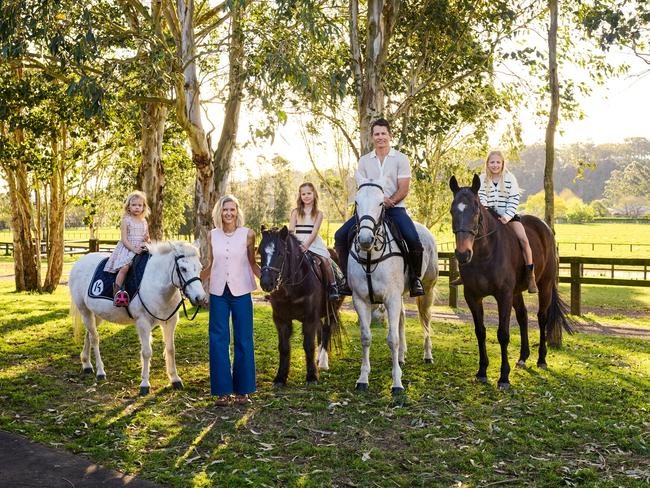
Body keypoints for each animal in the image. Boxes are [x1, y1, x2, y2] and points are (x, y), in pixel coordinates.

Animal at [69, 241, 205, 396]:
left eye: (200, 267)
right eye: (183, 268)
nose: (200, 298)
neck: (156, 284)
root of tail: (79, 262)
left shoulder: (170, 322)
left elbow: (171, 349)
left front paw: (175, 379)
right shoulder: (143, 323)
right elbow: (146, 352)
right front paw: (145, 384)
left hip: (96, 314)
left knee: (89, 335)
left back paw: (86, 364)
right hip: (84, 310)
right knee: (94, 339)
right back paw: (100, 371)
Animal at [256, 227, 344, 386]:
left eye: (280, 253)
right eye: (260, 252)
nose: (266, 283)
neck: (292, 287)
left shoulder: (310, 318)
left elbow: (308, 346)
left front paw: (312, 376)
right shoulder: (281, 319)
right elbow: (284, 347)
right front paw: (280, 377)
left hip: (332, 310)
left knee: (327, 330)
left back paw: (323, 362)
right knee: (321, 330)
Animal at [346, 179, 438, 396]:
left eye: (381, 203)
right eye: (357, 202)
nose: (365, 240)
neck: (370, 257)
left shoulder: (392, 299)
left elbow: (392, 339)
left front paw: (397, 383)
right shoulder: (361, 300)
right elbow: (366, 337)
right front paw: (363, 379)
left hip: (427, 290)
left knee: (426, 320)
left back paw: (427, 355)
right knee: (403, 318)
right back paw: (402, 357)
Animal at [448, 175, 568, 388]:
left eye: (476, 210)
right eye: (453, 210)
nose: (462, 254)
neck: (485, 254)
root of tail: (545, 228)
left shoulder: (503, 296)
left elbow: (503, 334)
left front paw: (504, 377)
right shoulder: (473, 296)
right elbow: (480, 331)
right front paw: (482, 371)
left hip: (544, 286)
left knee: (542, 317)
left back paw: (541, 359)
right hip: (516, 292)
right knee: (523, 316)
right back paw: (523, 357)